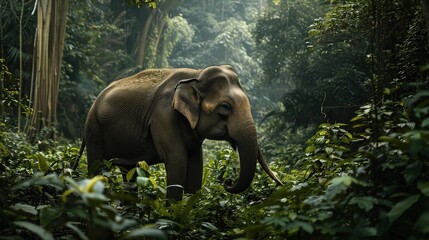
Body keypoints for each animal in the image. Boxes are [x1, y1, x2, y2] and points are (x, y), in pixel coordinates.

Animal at [73, 64, 280, 200]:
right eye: (225, 108)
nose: (227, 181)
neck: (196, 75)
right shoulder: (163, 117)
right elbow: (177, 161)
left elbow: (196, 167)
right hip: (94, 130)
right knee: (97, 168)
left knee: (128, 173)